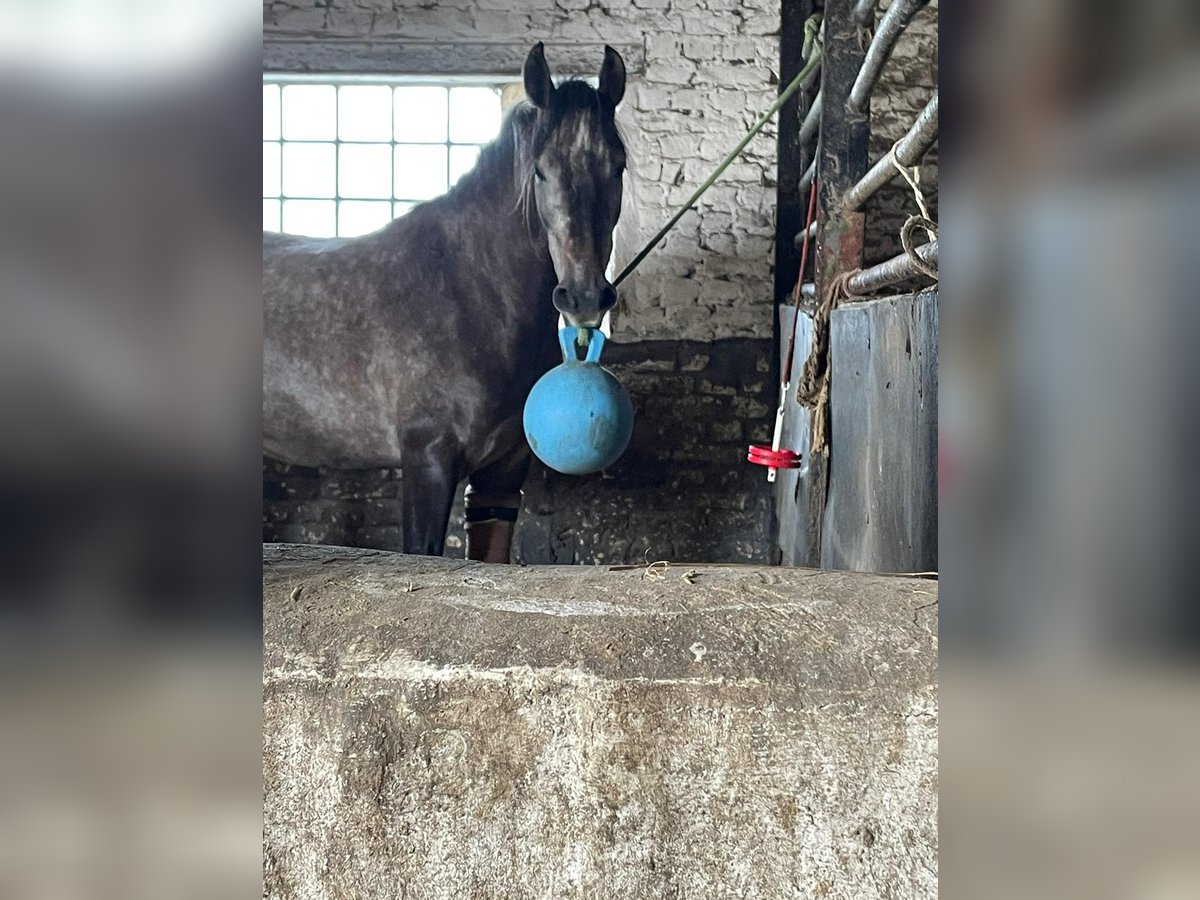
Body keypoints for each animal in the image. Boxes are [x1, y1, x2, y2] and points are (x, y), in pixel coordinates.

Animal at [264, 45, 628, 564]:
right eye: (540, 170)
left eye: (617, 166)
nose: (583, 296)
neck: (468, 291)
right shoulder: (429, 458)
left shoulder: (500, 476)